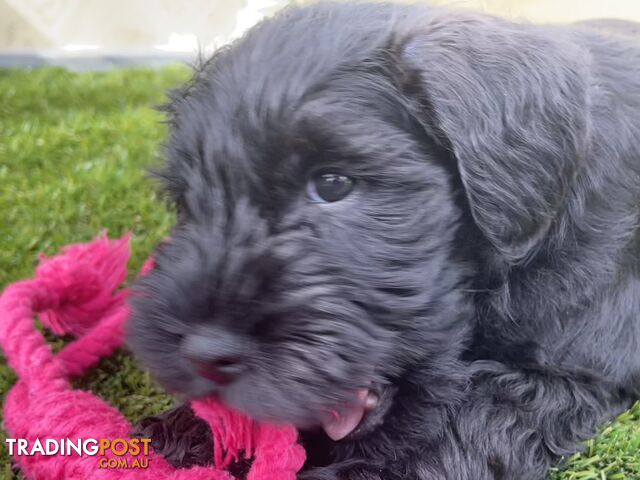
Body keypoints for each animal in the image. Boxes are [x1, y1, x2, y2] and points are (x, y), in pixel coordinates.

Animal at [129, 1, 640, 478]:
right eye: (187, 200)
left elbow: (468, 421)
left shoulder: (573, 373)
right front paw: (183, 430)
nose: (203, 354)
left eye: (333, 183)